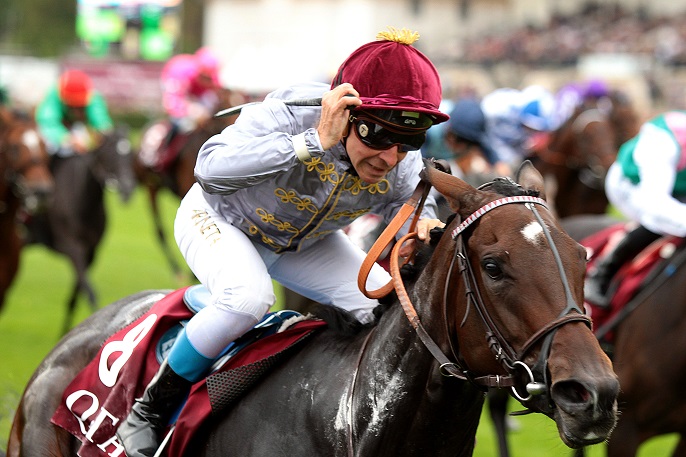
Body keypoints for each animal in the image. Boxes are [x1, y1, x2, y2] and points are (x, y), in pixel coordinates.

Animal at [23, 124, 136, 332]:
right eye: (110, 153)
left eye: (130, 154)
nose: (127, 188)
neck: (82, 200)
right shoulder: (71, 246)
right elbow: (90, 292)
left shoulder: (90, 252)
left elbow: (75, 297)